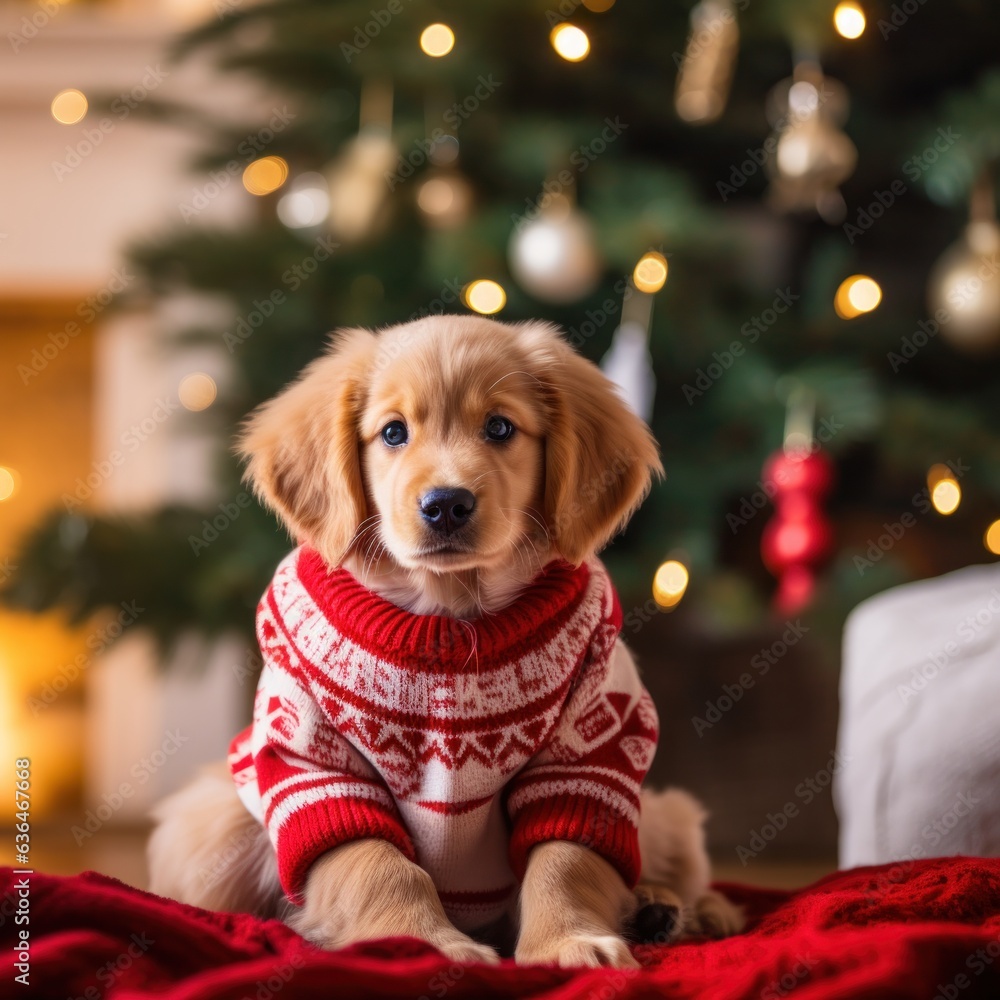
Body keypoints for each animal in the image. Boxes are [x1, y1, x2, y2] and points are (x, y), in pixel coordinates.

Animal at [148, 316, 744, 964]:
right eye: (393, 432)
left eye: (500, 427)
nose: (446, 505)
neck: (449, 613)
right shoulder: (311, 756)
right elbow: (376, 862)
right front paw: (425, 943)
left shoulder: (592, 745)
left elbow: (564, 858)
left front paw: (568, 940)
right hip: (213, 820)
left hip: (666, 815)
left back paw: (677, 908)